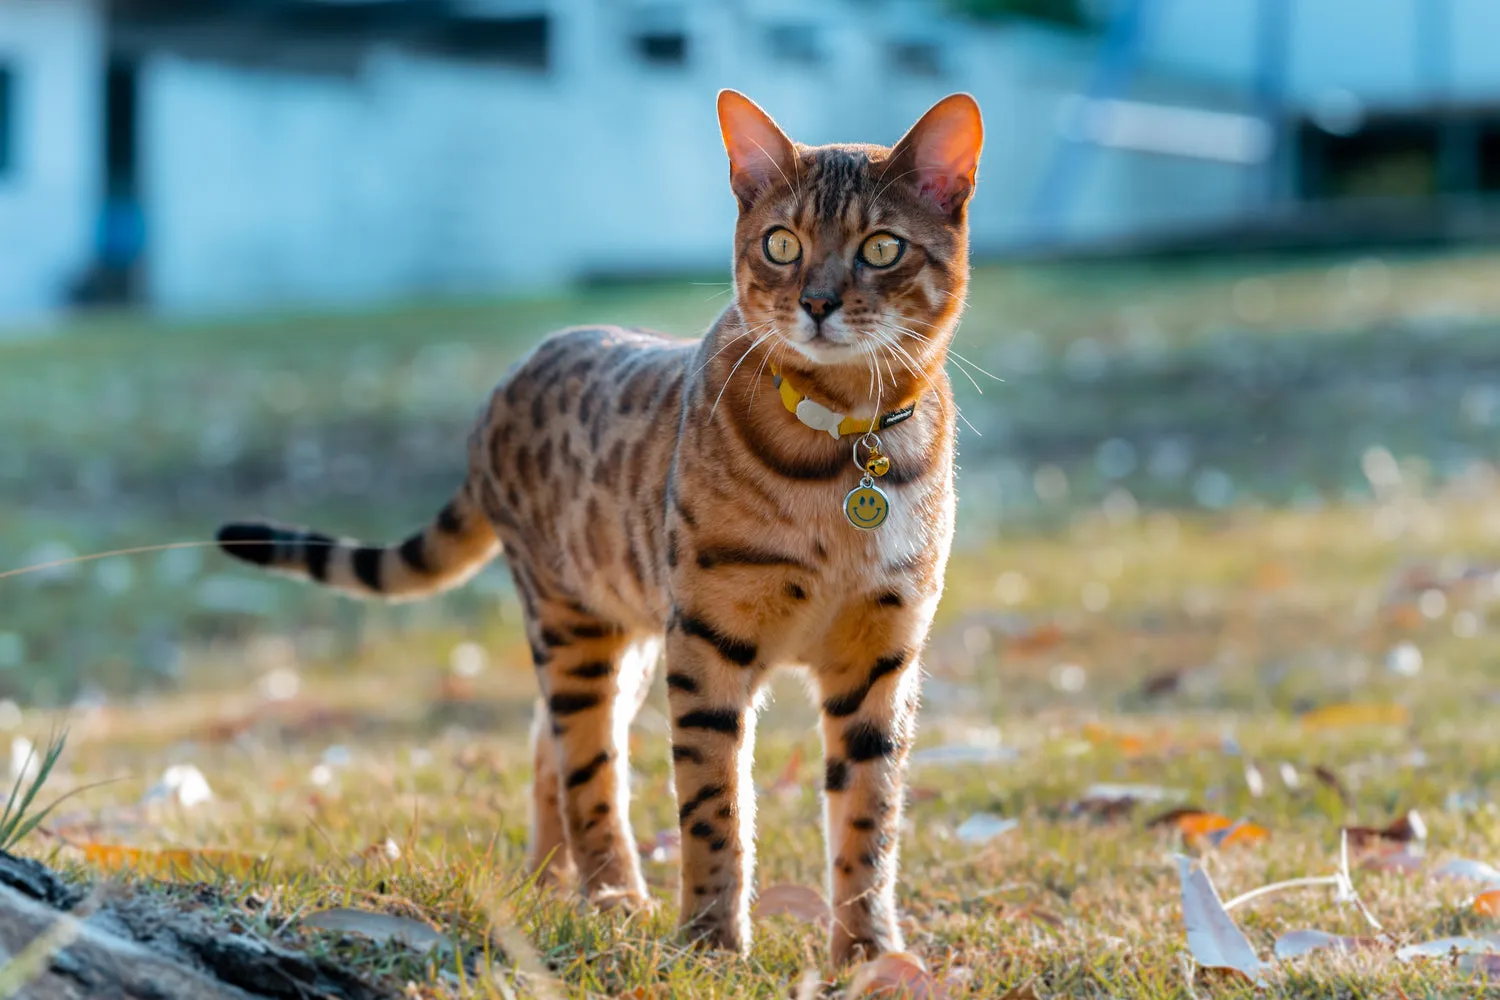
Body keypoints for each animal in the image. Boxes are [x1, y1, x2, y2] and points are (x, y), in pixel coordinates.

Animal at [214, 89, 984, 965]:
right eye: (781, 243)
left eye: (882, 248)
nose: (816, 304)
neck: (841, 446)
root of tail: (500, 391)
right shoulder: (710, 641)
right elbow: (714, 806)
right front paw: (711, 942)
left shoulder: (880, 651)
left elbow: (870, 816)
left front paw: (868, 953)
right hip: (575, 624)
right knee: (585, 761)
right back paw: (613, 893)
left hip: (634, 634)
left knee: (547, 746)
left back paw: (550, 882)